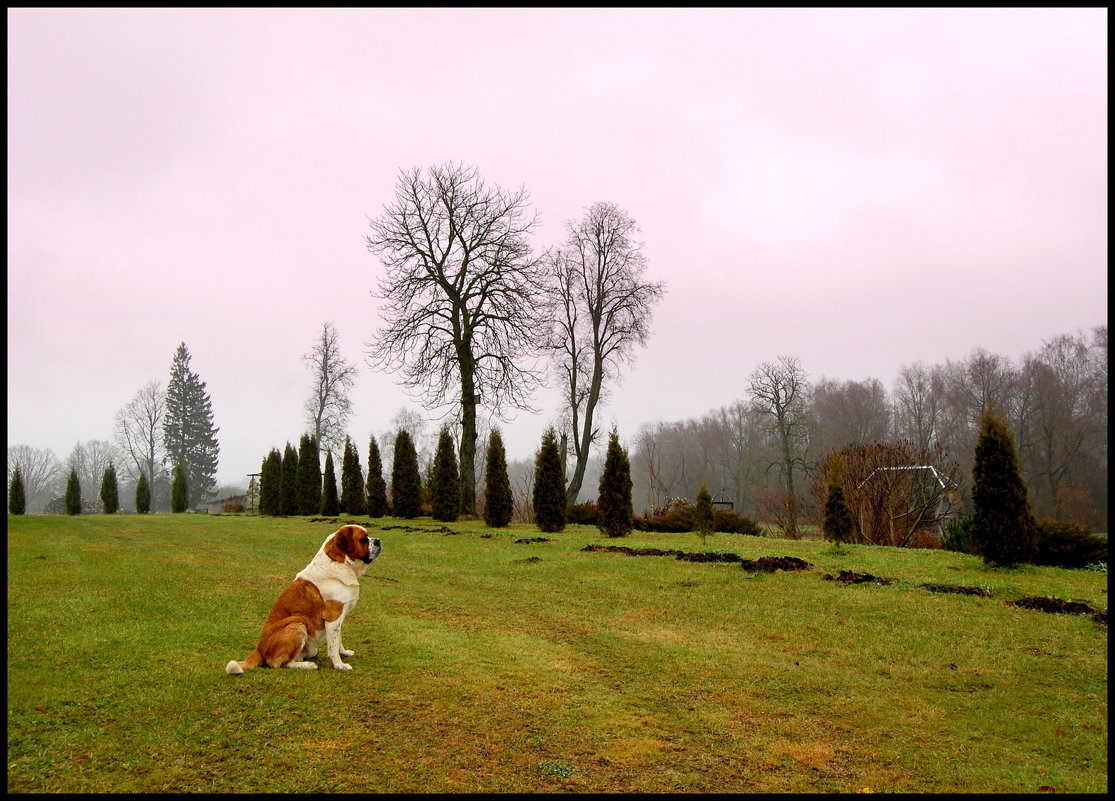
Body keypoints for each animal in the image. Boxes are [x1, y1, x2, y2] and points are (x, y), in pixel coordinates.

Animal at [226, 524, 383, 673]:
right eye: (363, 539)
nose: (378, 540)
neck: (342, 563)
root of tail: (259, 649)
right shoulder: (333, 616)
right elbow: (332, 646)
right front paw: (339, 665)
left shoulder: (339, 618)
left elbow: (338, 639)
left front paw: (344, 652)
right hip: (297, 624)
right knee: (279, 663)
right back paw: (308, 665)